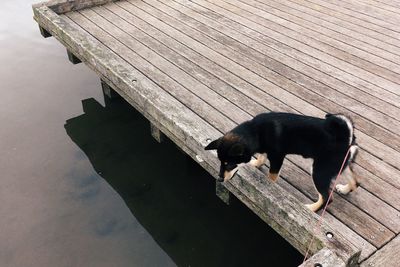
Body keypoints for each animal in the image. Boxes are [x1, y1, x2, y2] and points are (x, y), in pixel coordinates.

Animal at [206, 112, 360, 213]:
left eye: (228, 163)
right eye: (221, 162)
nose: (219, 179)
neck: (256, 131)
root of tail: (346, 137)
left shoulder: (277, 158)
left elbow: (271, 176)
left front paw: (269, 186)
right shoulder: (266, 151)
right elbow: (261, 157)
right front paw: (255, 164)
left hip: (319, 172)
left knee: (327, 197)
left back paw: (311, 208)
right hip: (340, 165)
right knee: (355, 182)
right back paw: (345, 189)